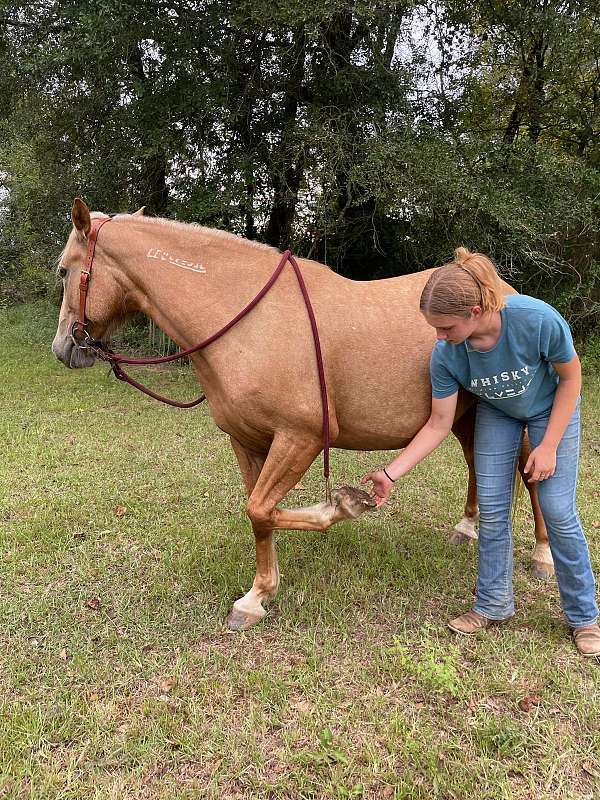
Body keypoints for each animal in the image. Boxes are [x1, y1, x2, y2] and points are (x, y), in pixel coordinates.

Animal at [51, 200, 552, 632]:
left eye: (64, 270)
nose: (63, 349)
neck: (250, 324)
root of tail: (500, 291)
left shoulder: (301, 438)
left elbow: (261, 509)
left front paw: (341, 507)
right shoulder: (248, 441)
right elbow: (262, 514)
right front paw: (258, 596)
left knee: (532, 478)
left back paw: (543, 555)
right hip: (466, 415)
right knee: (476, 467)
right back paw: (467, 528)